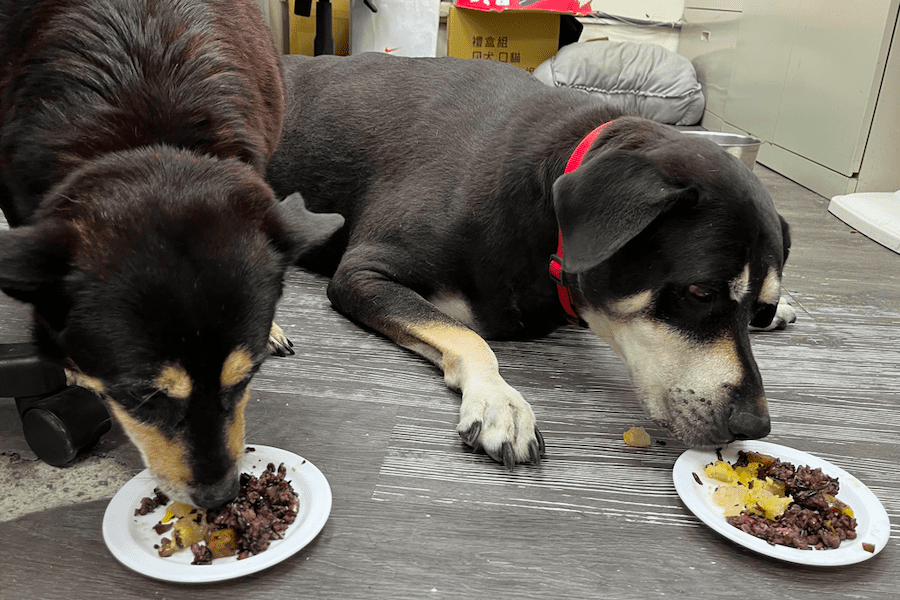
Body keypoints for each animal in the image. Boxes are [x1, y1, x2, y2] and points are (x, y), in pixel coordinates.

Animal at [268, 52, 796, 468]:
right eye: (699, 292)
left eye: (759, 310)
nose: (754, 424)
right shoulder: (363, 272)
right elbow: (467, 335)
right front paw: (500, 400)